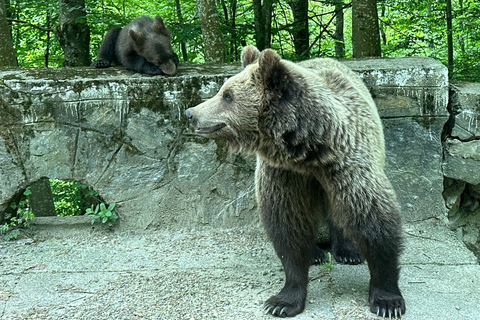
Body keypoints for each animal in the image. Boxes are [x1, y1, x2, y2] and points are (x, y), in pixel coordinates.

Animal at [184, 45, 404, 318]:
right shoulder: (284, 176)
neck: (308, 151)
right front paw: (282, 301)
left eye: (227, 95)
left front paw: (387, 300)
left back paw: (347, 251)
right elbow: (287, 227)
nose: (190, 113)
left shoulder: (347, 165)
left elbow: (374, 222)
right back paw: (316, 254)